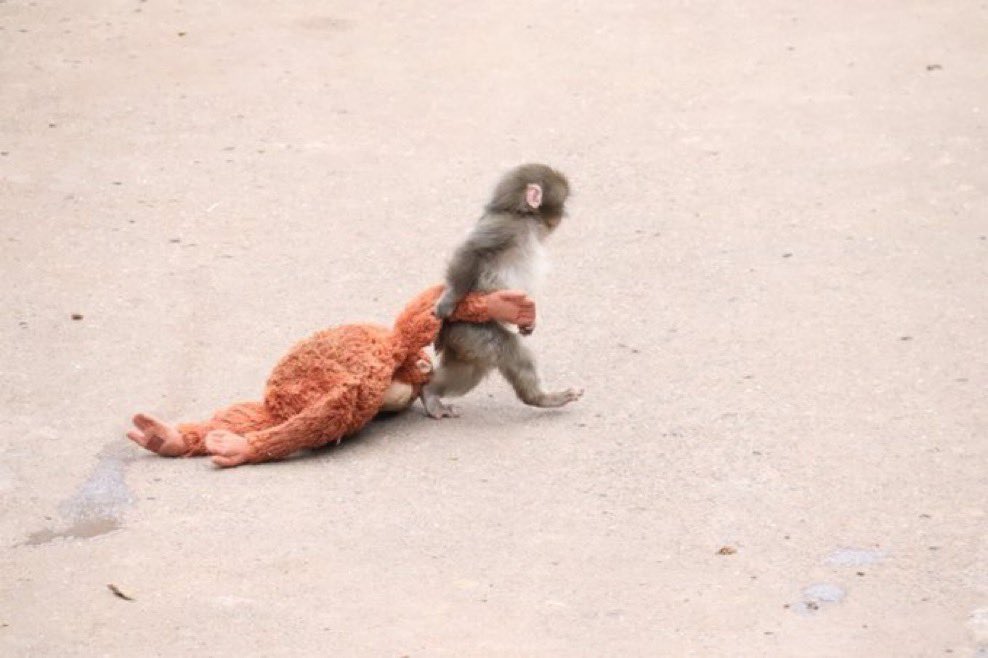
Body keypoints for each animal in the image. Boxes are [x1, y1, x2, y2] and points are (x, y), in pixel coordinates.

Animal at [421, 163, 584, 419]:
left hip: (465, 341)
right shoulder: (505, 227)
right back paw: (542, 398)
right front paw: (448, 300)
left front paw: (528, 322)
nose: (564, 214)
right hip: (470, 329)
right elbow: (472, 250)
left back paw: (430, 391)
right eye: (563, 201)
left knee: (469, 370)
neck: (521, 215)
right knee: (511, 352)